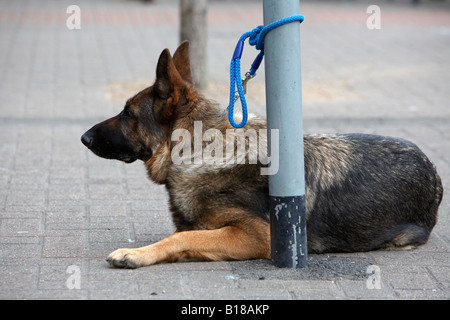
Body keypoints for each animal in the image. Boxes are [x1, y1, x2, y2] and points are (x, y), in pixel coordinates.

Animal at [81, 42, 442, 268]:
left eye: (128, 113)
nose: (83, 138)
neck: (201, 151)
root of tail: (433, 170)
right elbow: (186, 235)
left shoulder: (256, 235)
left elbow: (181, 237)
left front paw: (135, 253)